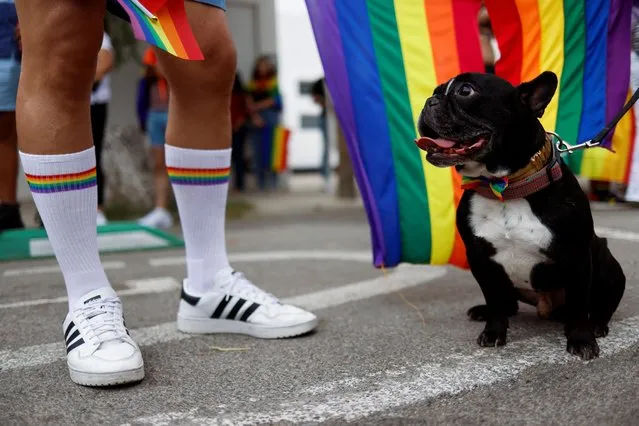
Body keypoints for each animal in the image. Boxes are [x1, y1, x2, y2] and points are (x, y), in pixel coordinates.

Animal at [416, 72, 624, 360]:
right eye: (436, 91)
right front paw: (494, 331)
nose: (430, 101)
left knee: (599, 305)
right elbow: (493, 298)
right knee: (507, 304)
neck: (506, 187)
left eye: (465, 91)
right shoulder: (481, 259)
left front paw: (582, 338)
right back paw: (483, 311)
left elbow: (579, 303)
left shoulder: (579, 256)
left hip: (605, 261)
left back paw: (597, 324)